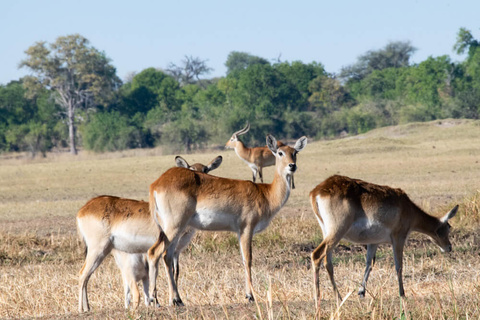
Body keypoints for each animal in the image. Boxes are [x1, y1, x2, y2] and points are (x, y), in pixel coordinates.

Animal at [77, 156, 223, 312]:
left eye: (206, 170)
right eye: (192, 170)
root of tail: (83, 209)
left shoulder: (176, 251)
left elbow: (175, 271)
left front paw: (175, 300)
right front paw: (165, 301)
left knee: (87, 276)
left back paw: (87, 308)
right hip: (98, 249)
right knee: (82, 274)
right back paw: (81, 309)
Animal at [145, 134, 308, 304]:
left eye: (295, 152)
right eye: (280, 153)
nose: (292, 166)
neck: (265, 193)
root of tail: (156, 184)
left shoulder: (239, 232)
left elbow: (243, 259)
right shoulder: (247, 228)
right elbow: (248, 259)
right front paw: (250, 295)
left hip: (176, 230)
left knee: (168, 256)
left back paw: (176, 300)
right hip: (174, 227)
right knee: (154, 253)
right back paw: (154, 300)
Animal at [310, 175, 460, 308]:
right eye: (448, 227)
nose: (449, 247)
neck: (408, 208)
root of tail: (317, 191)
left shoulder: (373, 242)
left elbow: (369, 264)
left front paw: (361, 292)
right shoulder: (398, 238)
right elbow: (399, 266)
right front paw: (402, 293)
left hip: (327, 233)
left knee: (328, 262)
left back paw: (339, 298)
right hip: (336, 232)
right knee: (316, 255)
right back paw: (317, 299)